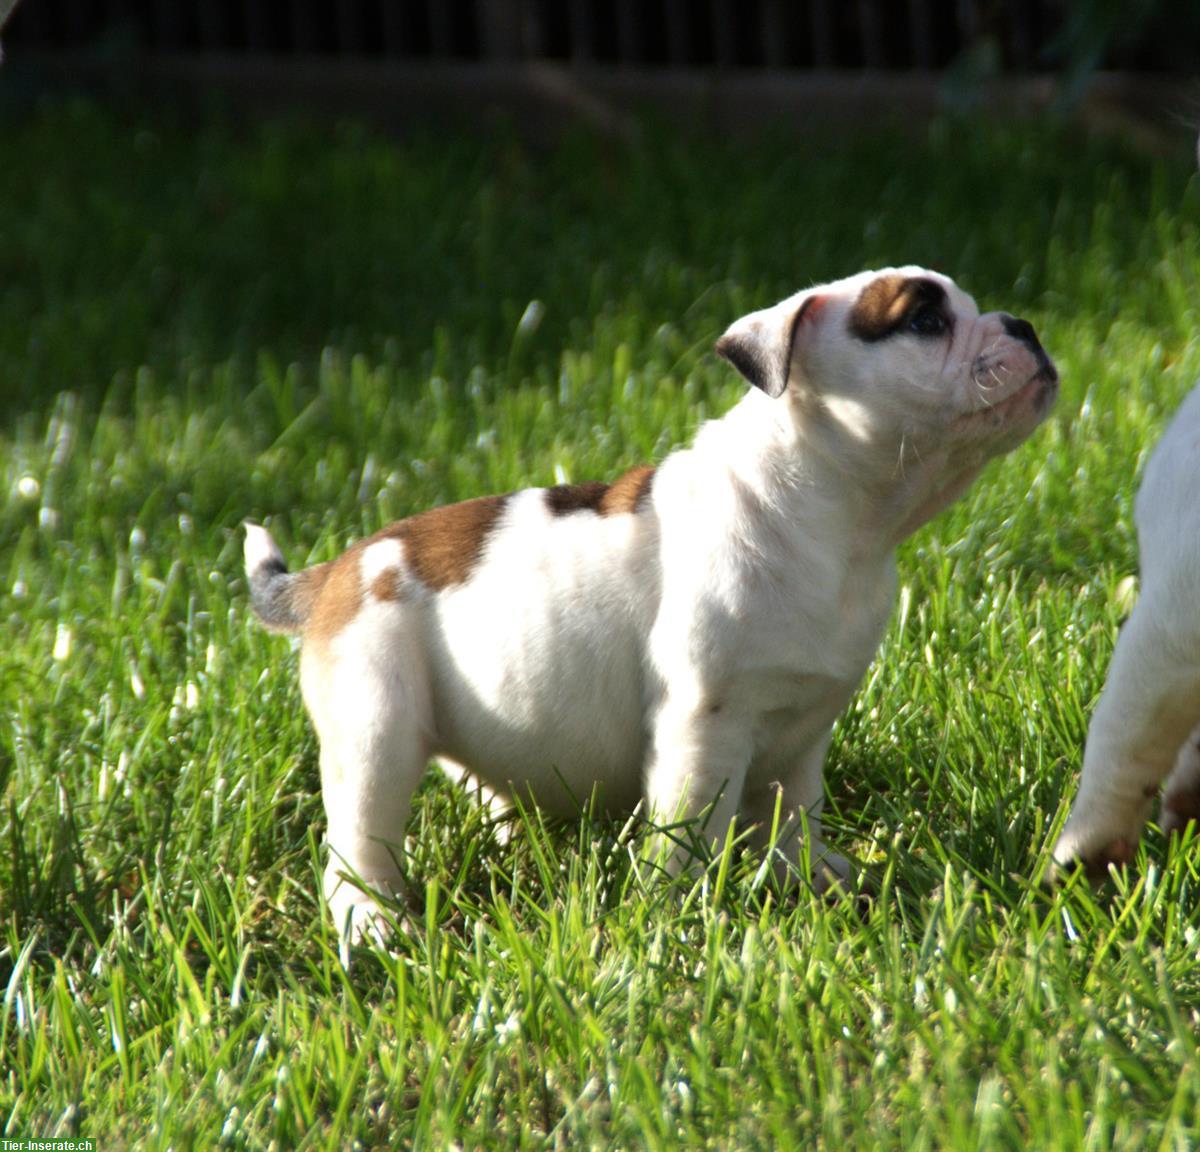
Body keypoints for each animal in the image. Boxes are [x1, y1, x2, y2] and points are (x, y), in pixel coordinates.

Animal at [246, 267, 1060, 945]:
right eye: (925, 320)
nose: (1024, 324)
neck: (839, 518)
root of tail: (339, 569)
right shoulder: (705, 725)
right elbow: (689, 832)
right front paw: (682, 915)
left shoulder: (803, 730)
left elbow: (794, 812)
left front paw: (813, 875)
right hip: (376, 726)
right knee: (357, 845)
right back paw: (375, 921)